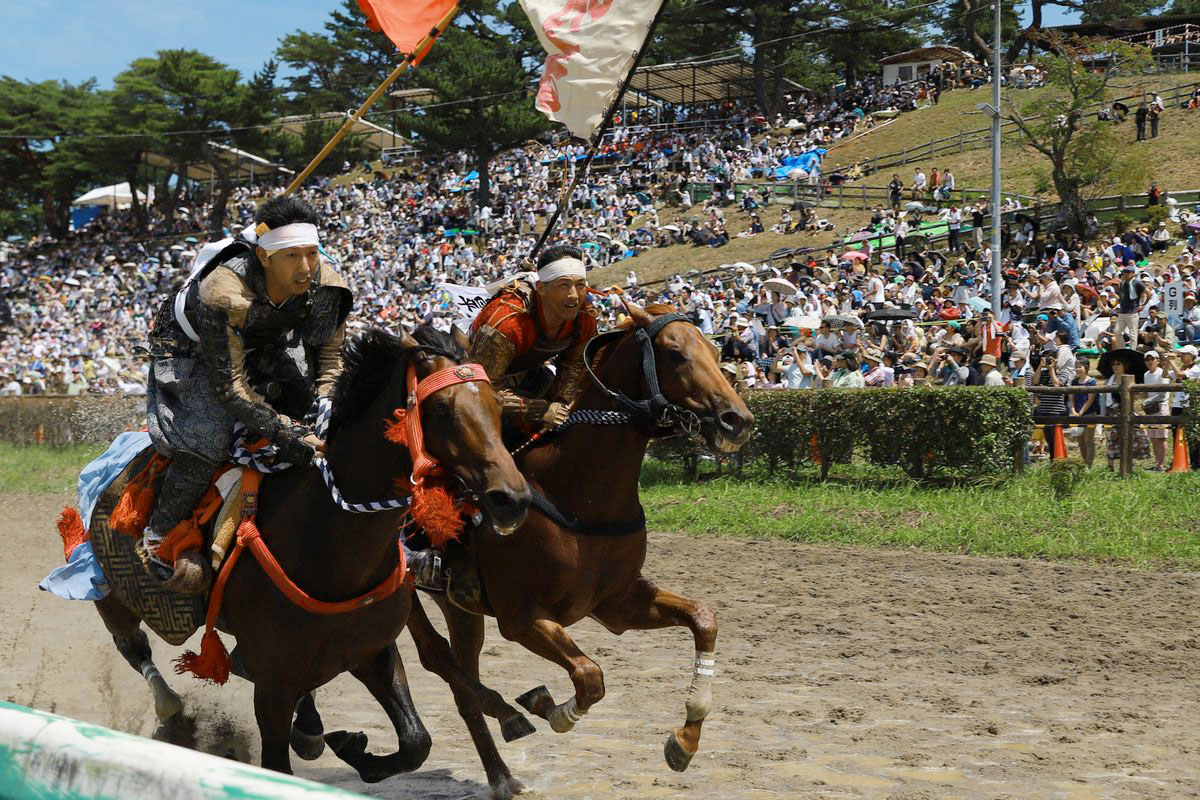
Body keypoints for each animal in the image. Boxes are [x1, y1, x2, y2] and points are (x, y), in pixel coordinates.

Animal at [88, 326, 530, 782]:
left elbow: (415, 743)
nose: (512, 499)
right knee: (133, 645)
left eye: (497, 404)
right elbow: (277, 763)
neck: (332, 550)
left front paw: (354, 749)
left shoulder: (372, 653)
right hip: (110, 592)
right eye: (441, 409)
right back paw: (171, 709)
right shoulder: (273, 687)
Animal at [429, 303, 748, 796]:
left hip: (459, 609)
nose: (737, 420)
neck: (579, 493)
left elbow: (704, 619)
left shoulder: (618, 603)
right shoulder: (520, 618)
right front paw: (545, 706)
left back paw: (502, 770)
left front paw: (685, 741)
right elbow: (589, 676)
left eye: (717, 353)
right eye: (675, 354)